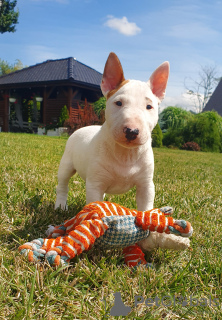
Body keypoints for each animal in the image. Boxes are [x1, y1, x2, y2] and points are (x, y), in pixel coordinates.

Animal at [54, 52, 169, 211]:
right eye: (118, 103)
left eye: (149, 106)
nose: (132, 131)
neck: (125, 154)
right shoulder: (95, 183)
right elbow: (94, 204)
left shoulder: (146, 185)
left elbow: (145, 206)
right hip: (66, 163)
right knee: (63, 184)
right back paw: (60, 205)